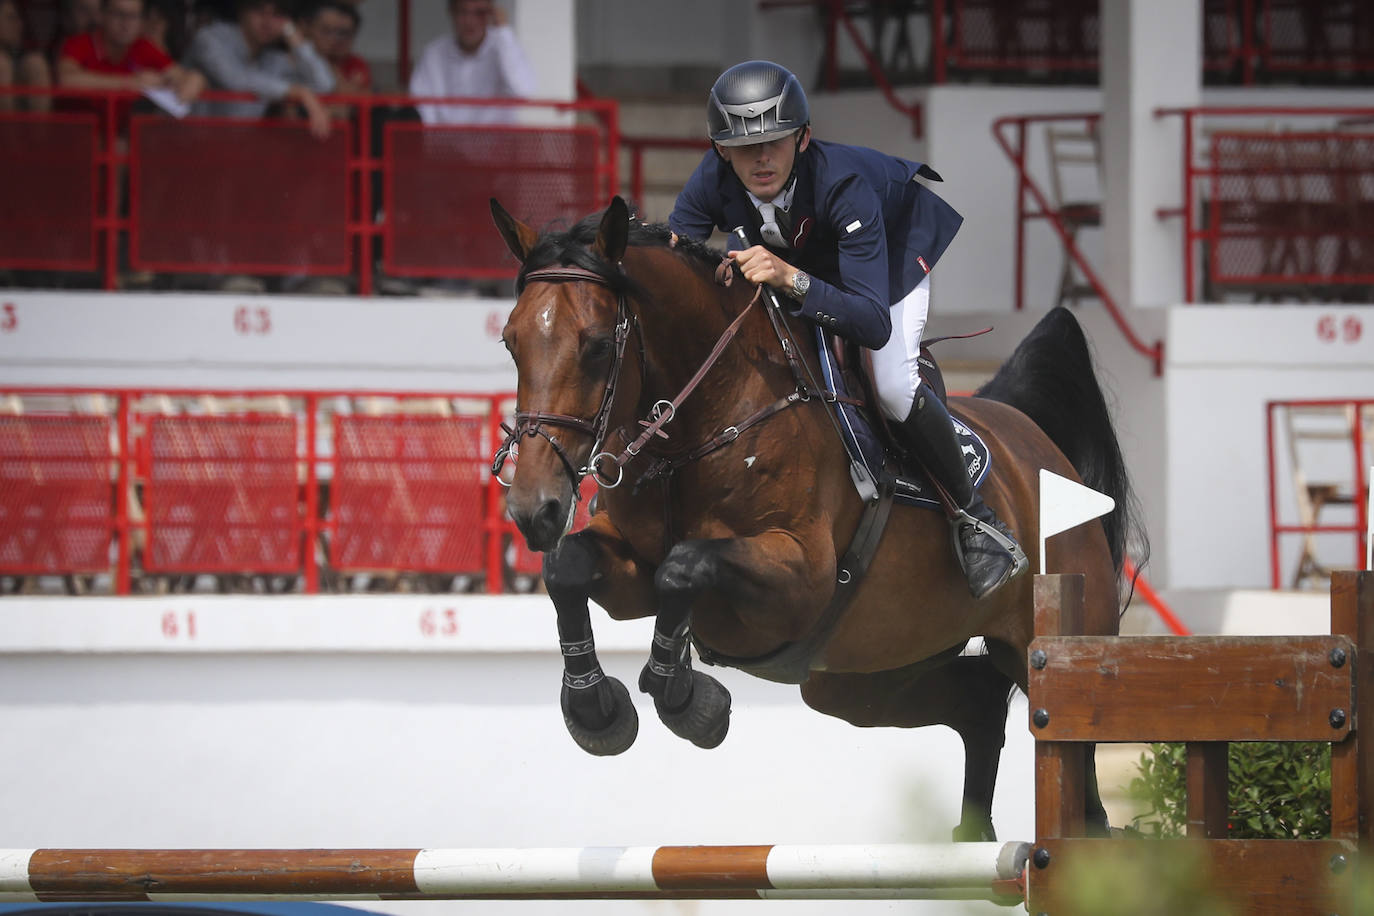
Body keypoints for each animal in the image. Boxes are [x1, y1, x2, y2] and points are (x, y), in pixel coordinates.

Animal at [489, 197, 1143, 840]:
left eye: (598, 345)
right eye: (510, 343)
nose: (533, 509)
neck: (705, 422)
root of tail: (1031, 436)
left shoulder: (800, 580)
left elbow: (685, 566)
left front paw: (690, 701)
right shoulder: (633, 571)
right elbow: (569, 566)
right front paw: (595, 709)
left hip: (1051, 647)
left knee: (1074, 748)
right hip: (861, 675)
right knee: (978, 702)